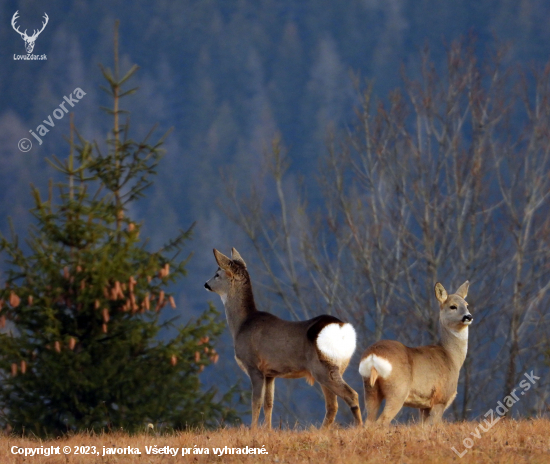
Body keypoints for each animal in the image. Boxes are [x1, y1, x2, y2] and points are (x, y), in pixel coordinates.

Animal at [205, 248, 364, 430]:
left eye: (217, 274)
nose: (206, 284)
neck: (241, 325)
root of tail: (343, 329)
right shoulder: (270, 373)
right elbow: (269, 403)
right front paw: (268, 430)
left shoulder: (253, 365)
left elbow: (256, 402)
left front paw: (253, 430)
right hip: (336, 366)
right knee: (333, 405)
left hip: (323, 367)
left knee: (351, 395)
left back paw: (359, 427)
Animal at [358, 280, 474, 426]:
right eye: (453, 306)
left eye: (467, 305)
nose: (468, 316)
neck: (451, 357)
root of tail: (373, 356)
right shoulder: (441, 398)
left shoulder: (424, 405)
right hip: (397, 390)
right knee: (382, 421)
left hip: (370, 389)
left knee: (368, 422)